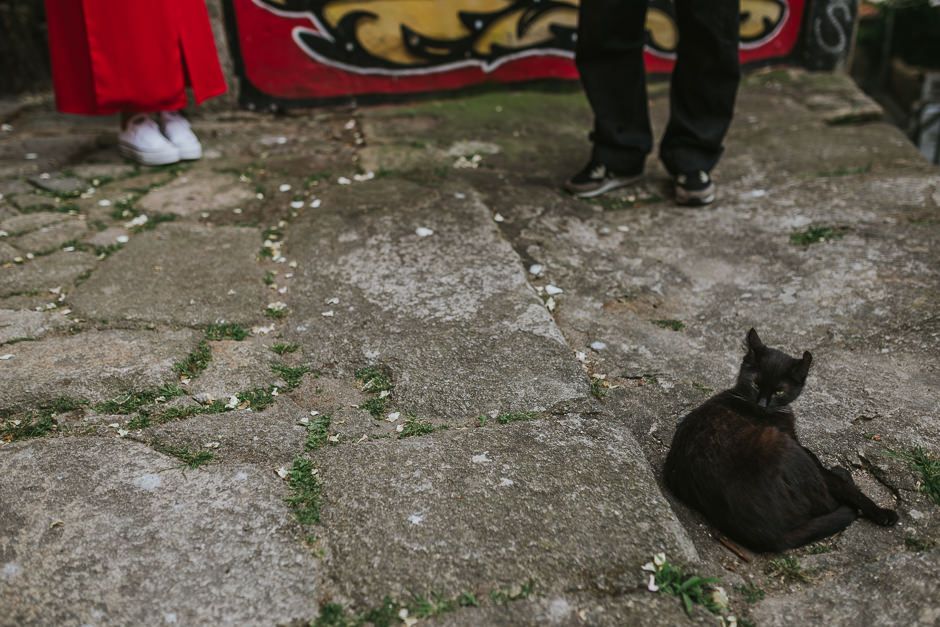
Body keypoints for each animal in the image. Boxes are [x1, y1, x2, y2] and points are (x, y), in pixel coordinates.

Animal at [660, 332, 896, 552]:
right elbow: (840, 484)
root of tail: (769, 535)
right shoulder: (794, 442)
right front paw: (882, 513)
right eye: (756, 384)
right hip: (785, 448)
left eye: (779, 391)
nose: (762, 404)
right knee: (828, 501)